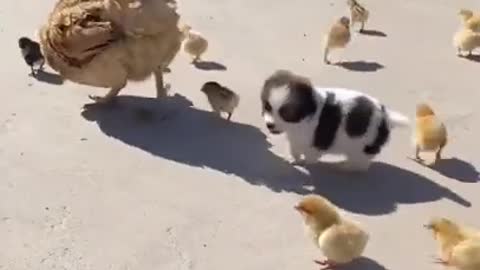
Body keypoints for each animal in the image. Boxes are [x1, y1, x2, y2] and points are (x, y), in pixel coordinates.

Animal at [260, 69, 410, 171]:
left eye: (286, 114)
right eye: (267, 107)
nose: (269, 125)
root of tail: (386, 117)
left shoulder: (314, 142)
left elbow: (310, 155)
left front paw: (305, 163)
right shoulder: (296, 138)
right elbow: (294, 149)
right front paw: (294, 159)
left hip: (363, 148)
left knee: (360, 162)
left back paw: (345, 167)